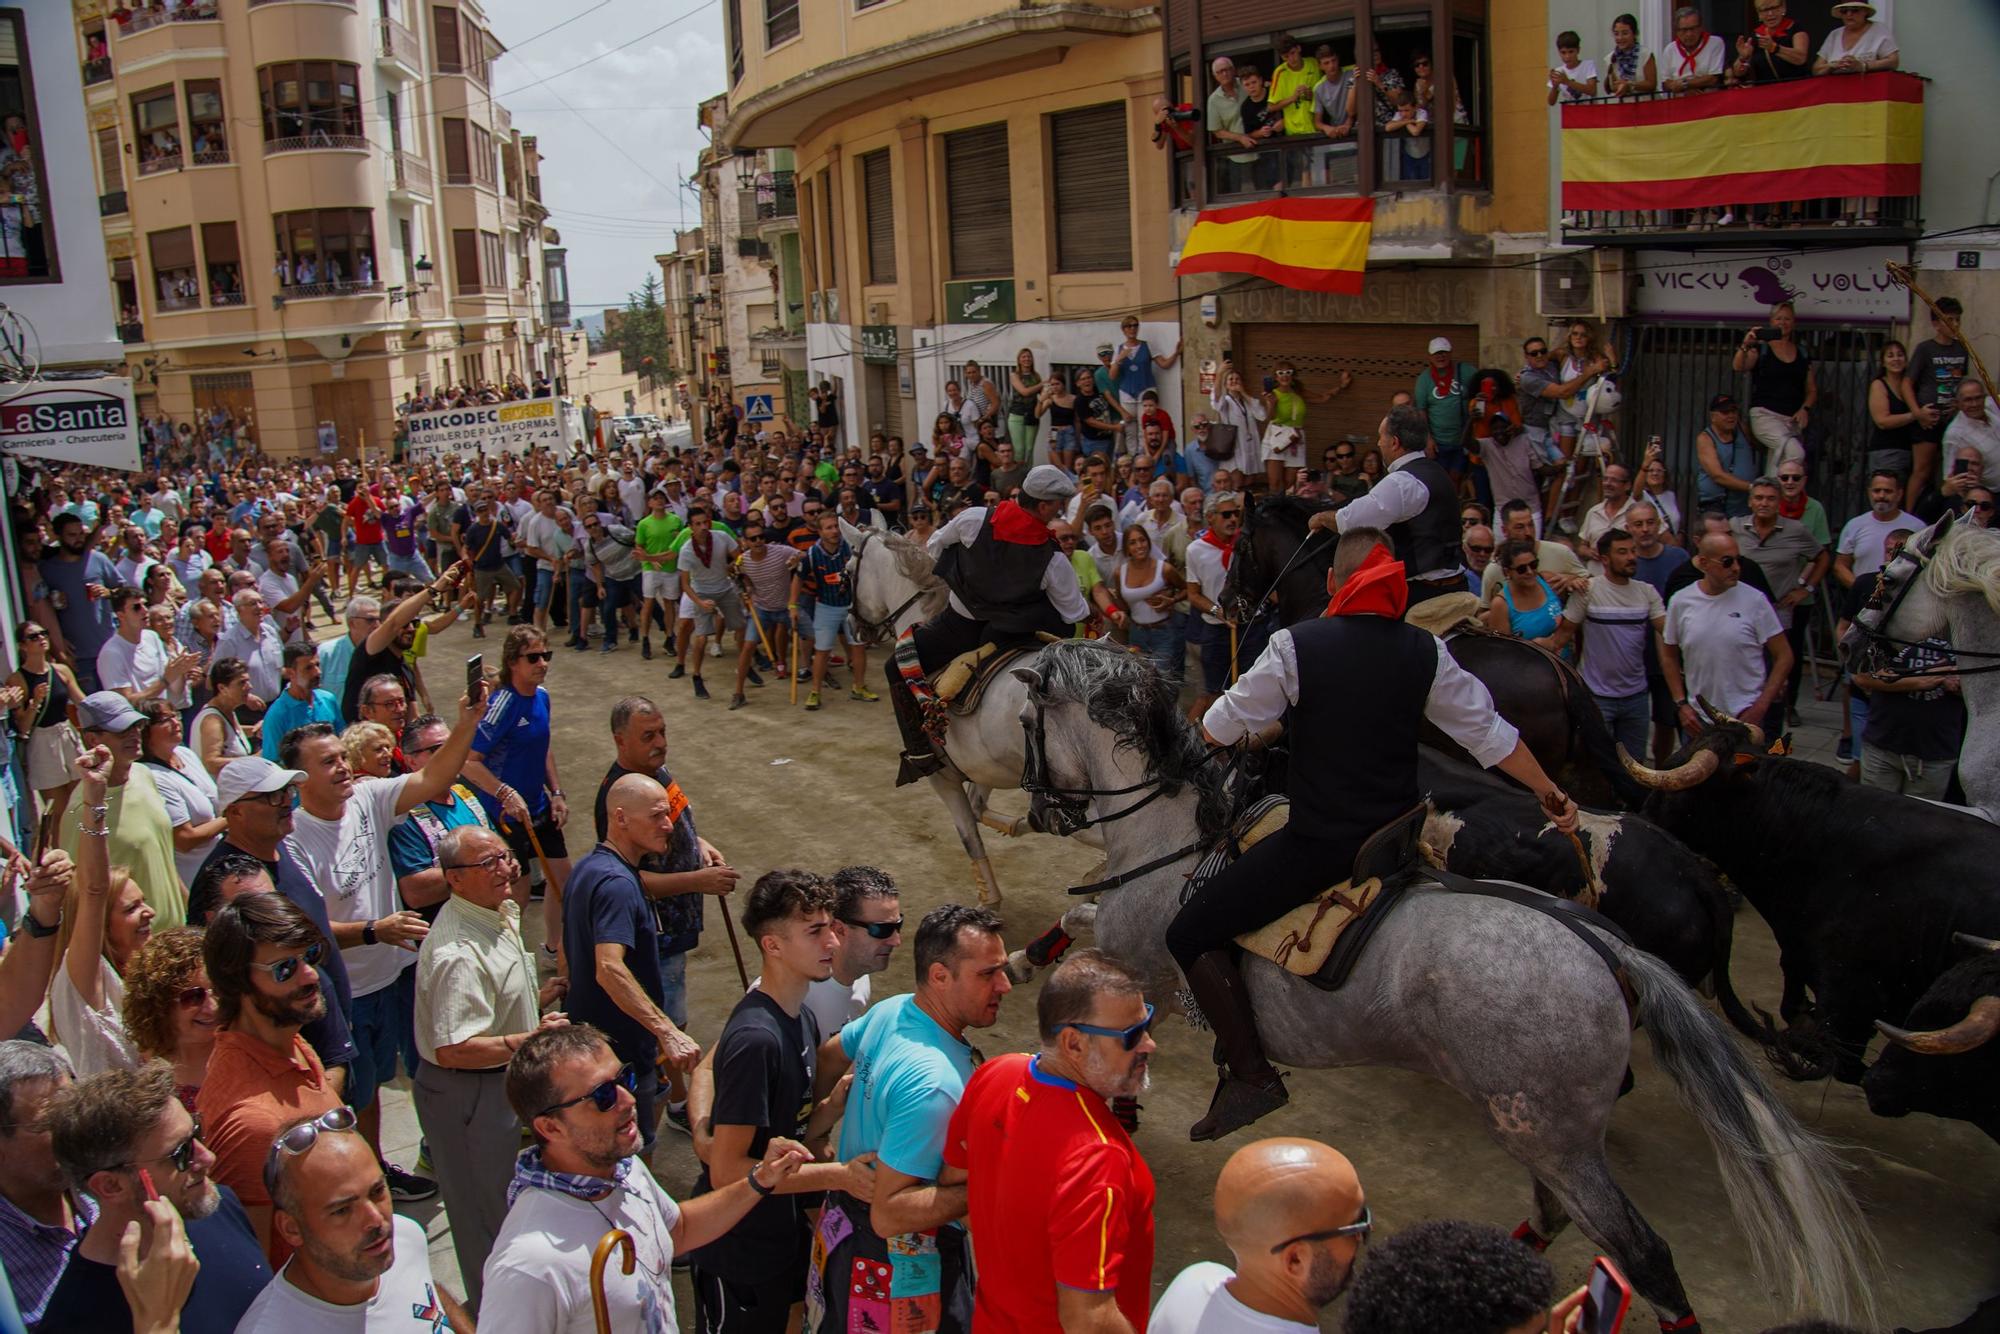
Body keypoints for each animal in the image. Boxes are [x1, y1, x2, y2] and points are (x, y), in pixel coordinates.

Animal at [1016, 640, 1872, 1328]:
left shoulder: (1146, 957)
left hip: (1550, 1133)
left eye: (1028, 726)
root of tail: (1609, 950)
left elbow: (1095, 960)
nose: (1043, 810)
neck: (1177, 834)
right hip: (1540, 1129)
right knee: (1559, 1220)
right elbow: (1080, 929)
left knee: (1643, 1253)